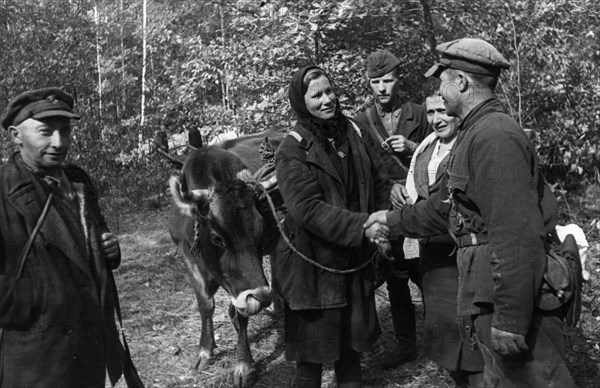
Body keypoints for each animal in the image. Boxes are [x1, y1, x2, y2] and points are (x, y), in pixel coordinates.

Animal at [168, 146, 278, 388]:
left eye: (260, 230)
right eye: (217, 238)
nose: (262, 296)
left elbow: (240, 314)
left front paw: (244, 367)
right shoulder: (187, 255)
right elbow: (206, 305)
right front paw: (205, 351)